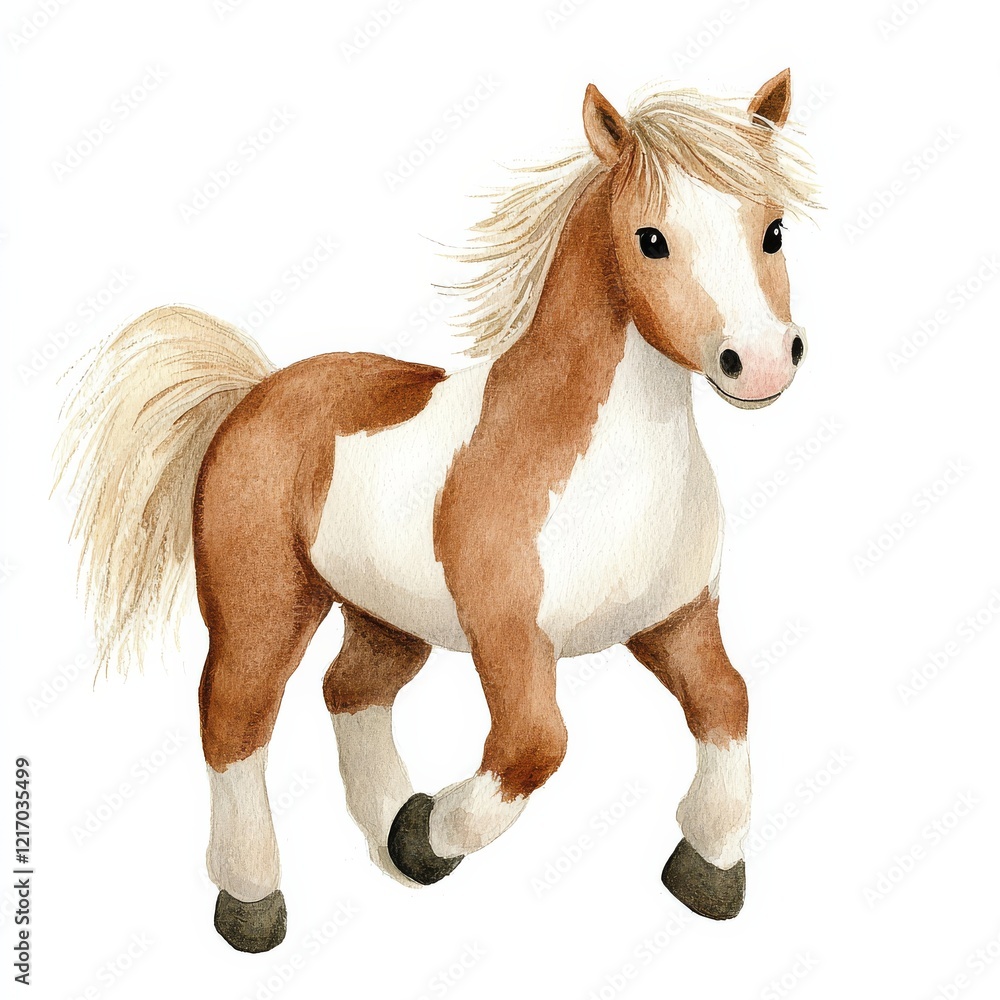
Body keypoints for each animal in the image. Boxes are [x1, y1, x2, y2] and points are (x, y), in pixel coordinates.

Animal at [56, 69, 817, 953]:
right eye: (651, 239)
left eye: (774, 228)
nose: (760, 363)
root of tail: (254, 392)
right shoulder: (509, 635)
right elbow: (535, 745)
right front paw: (431, 835)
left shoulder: (676, 621)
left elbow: (728, 702)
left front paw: (708, 870)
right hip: (263, 608)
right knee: (234, 720)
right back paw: (255, 901)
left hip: (387, 617)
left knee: (350, 690)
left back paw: (390, 833)